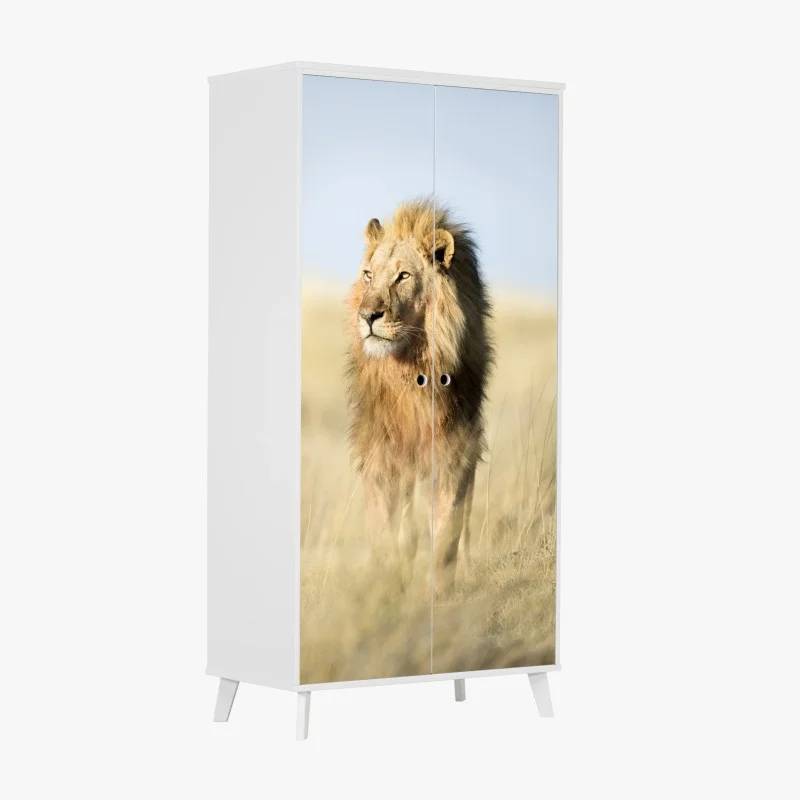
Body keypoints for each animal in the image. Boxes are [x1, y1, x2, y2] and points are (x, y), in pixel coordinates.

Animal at [346, 198, 494, 595]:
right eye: (368, 275)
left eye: (403, 276)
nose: (368, 315)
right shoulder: (380, 453)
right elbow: (385, 528)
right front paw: (387, 587)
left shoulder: (456, 449)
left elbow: (447, 530)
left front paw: (439, 593)